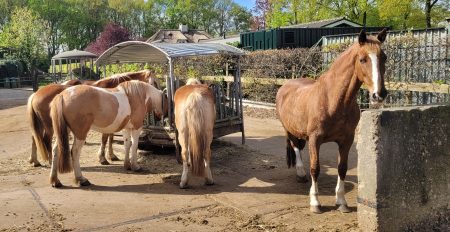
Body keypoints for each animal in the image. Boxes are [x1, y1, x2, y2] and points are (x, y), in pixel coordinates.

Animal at [26, 69, 160, 167]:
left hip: (41, 124)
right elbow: (105, 139)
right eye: (154, 83)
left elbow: (110, 138)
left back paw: (35, 161)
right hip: (49, 126)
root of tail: (35, 94)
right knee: (45, 140)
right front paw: (103, 158)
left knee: (35, 138)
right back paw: (49, 161)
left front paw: (111, 155)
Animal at [276, 29, 388, 214]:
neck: (333, 100)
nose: (379, 94)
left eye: (384, 57)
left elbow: (342, 168)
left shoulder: (347, 140)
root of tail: (285, 86)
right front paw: (315, 203)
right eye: (362, 59)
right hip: (289, 129)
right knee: (296, 147)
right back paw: (301, 173)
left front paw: (341, 202)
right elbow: (315, 168)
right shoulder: (315, 139)